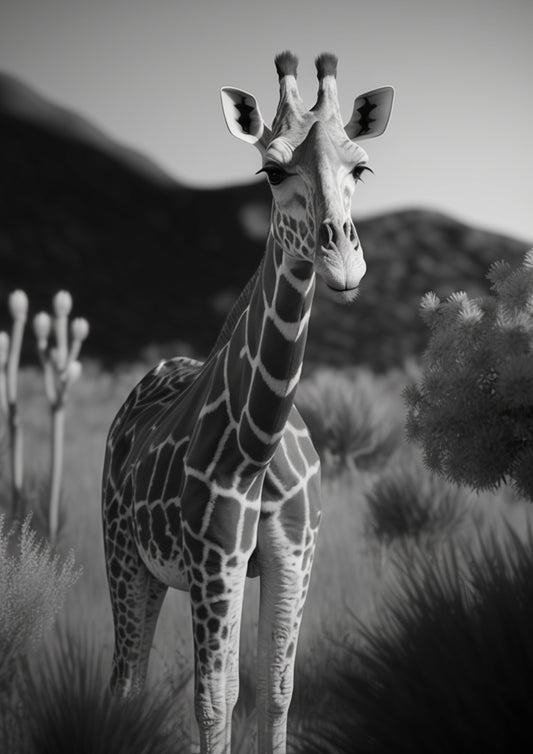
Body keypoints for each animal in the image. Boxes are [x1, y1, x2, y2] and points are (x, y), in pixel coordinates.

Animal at [102, 51, 393, 754]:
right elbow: (214, 702)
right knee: (127, 678)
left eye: (361, 167)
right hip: (125, 554)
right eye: (271, 169)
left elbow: (274, 692)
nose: (343, 263)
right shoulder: (216, 561)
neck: (258, 446)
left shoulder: (291, 561)